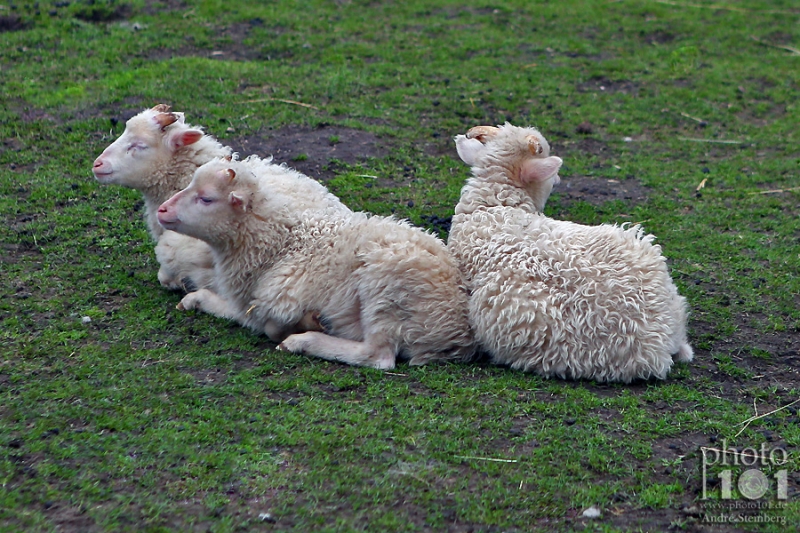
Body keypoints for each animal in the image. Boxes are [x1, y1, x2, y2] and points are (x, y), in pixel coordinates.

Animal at [156, 156, 476, 368]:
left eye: (206, 199)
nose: (162, 210)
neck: (278, 244)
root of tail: (456, 331)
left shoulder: (280, 300)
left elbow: (271, 328)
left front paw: (305, 326)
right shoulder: (250, 303)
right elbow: (239, 313)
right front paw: (195, 299)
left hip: (385, 288)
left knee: (379, 356)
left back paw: (304, 341)